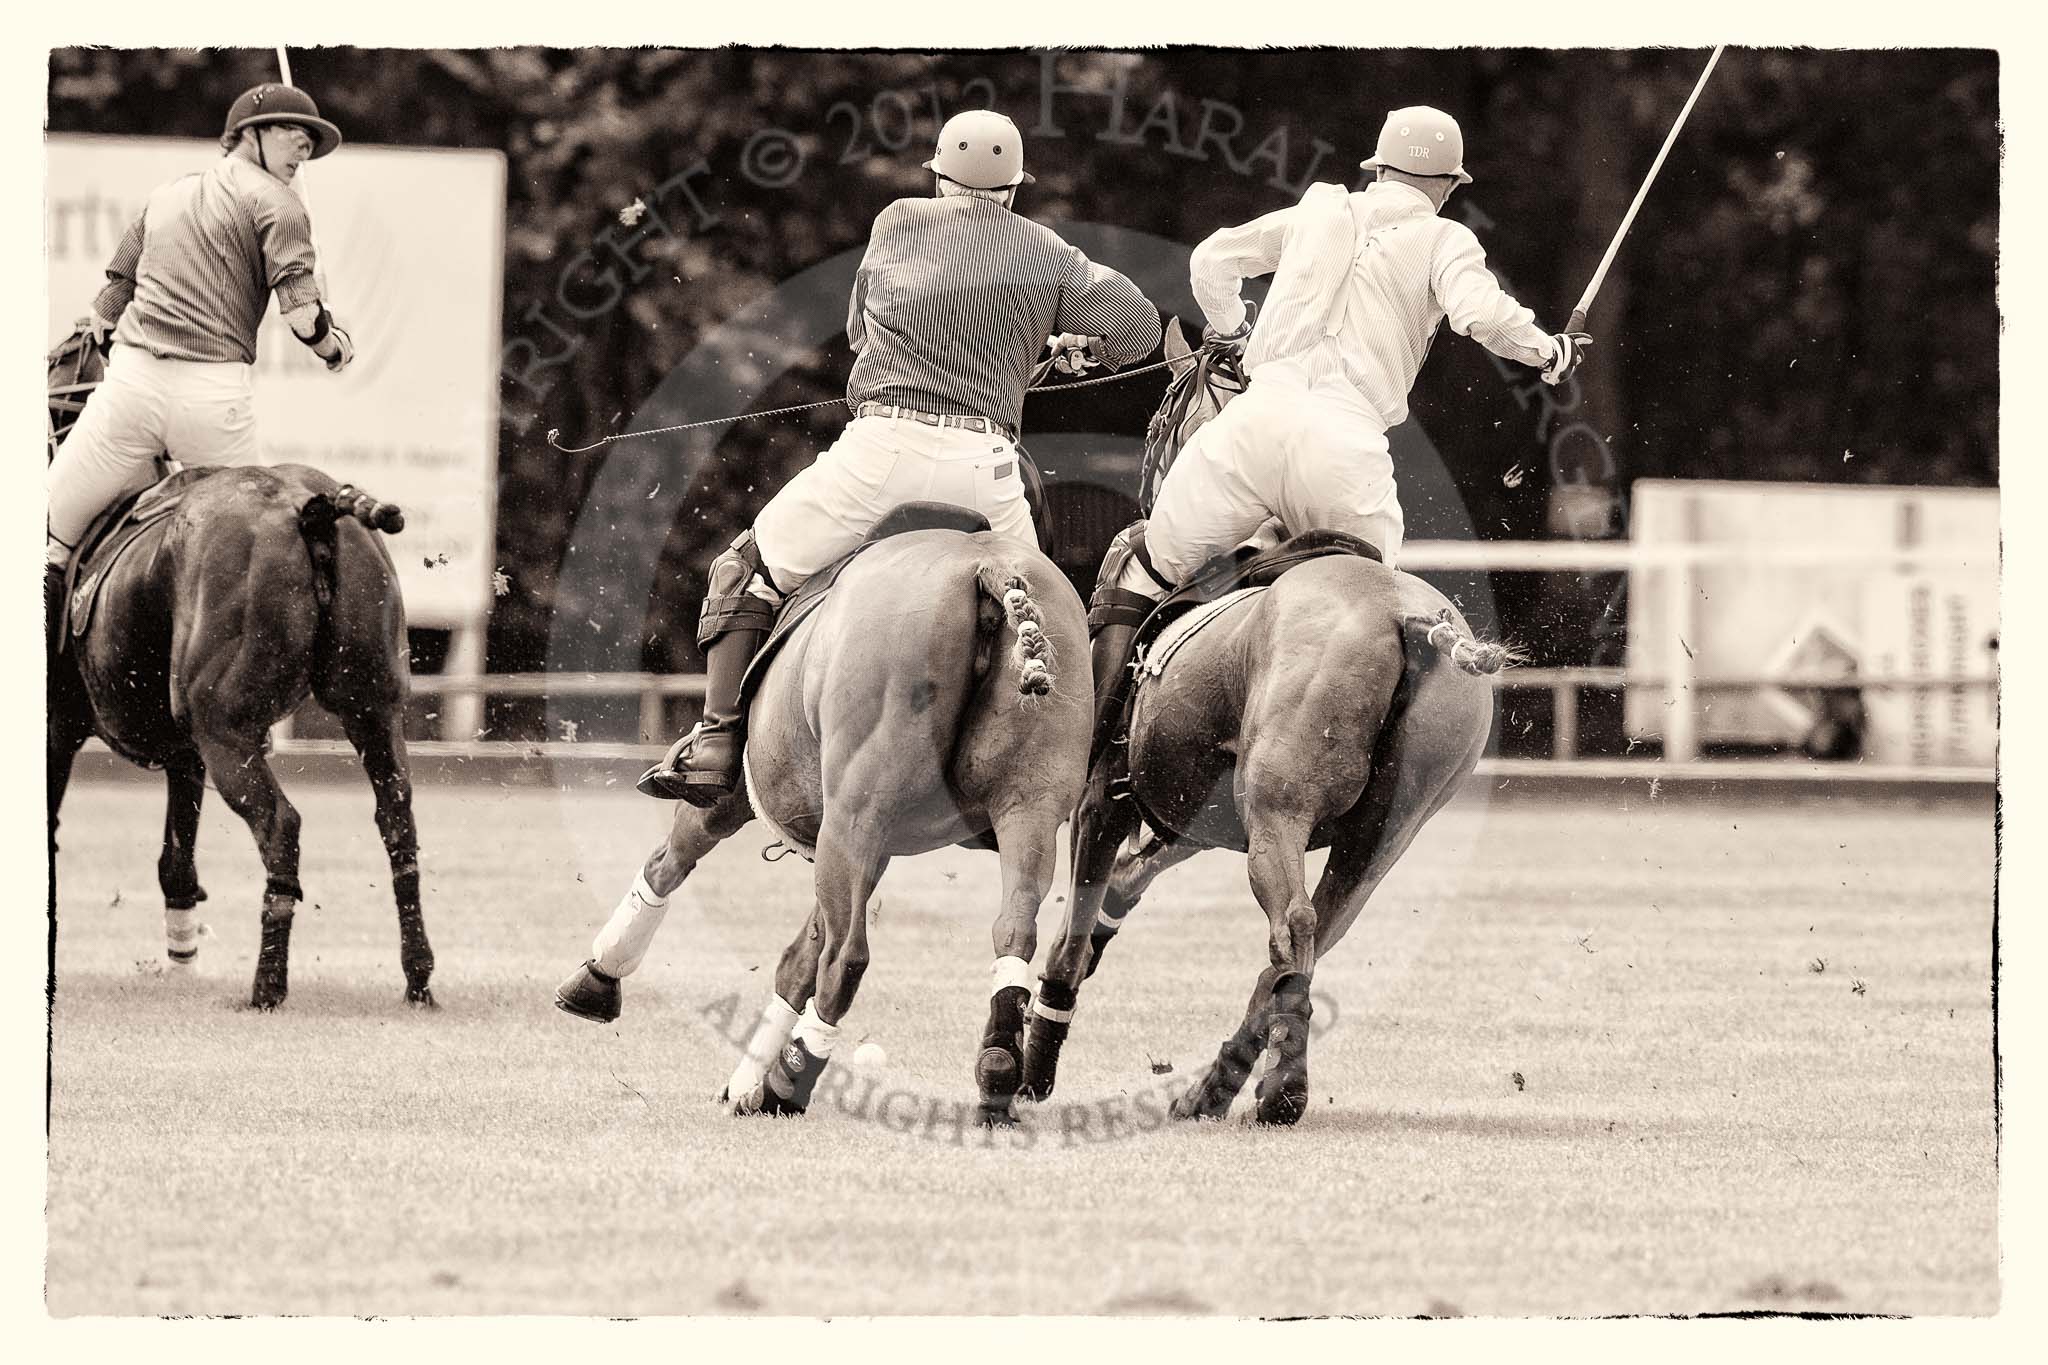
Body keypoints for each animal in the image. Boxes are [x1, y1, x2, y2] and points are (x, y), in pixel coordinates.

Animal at [50, 464, 436, 1010]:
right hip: (373, 709)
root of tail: (311, 507)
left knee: (280, 825)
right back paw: (417, 977)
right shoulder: (184, 756)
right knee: (396, 818)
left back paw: (267, 985)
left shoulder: (57, 732)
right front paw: (182, 965)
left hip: (224, 733)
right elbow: (178, 862)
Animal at [544, 517, 1089, 1129]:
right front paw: (742, 1082)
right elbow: (797, 955)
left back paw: (788, 1083)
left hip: (856, 813)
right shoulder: (875, 844)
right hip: (1027, 807)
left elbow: (673, 859)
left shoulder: (748, 796)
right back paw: (996, 1077)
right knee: (1013, 929)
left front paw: (597, 979)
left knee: (846, 956)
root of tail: (989, 568)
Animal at [1019, 548, 1507, 1129]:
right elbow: (1127, 878)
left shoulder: (1105, 800)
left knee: (1292, 924)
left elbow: (1072, 933)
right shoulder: (1201, 812)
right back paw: (1215, 1088)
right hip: (1387, 830)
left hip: (1280, 810)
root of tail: (1408, 620)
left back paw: (1281, 1087)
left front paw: (1036, 1060)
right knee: (1313, 934)